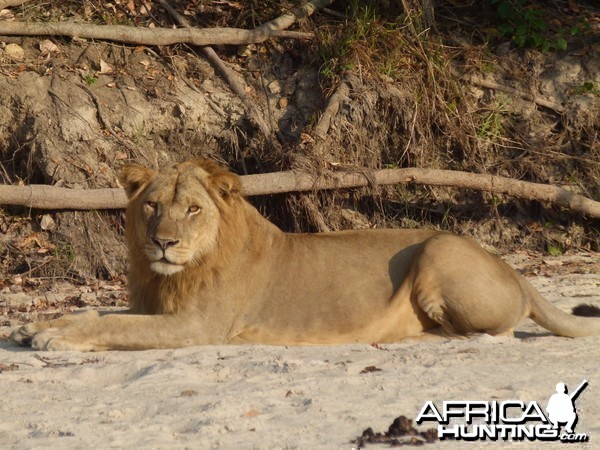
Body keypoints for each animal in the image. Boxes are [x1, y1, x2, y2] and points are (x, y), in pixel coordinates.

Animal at [9, 158, 600, 352]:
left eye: (193, 210)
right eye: (151, 206)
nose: (163, 242)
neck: (168, 276)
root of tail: (518, 273)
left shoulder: (198, 327)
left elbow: (113, 325)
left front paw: (52, 337)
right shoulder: (156, 308)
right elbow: (100, 312)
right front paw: (35, 326)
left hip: (440, 247)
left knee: (493, 331)